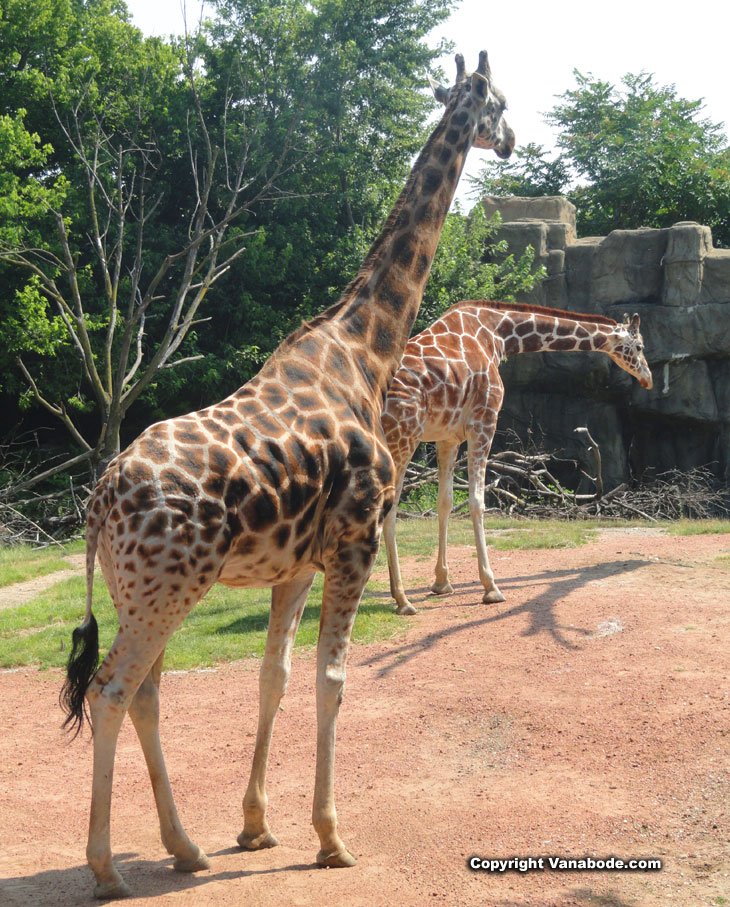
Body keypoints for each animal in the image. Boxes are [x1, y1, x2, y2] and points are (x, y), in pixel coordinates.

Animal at [61, 53, 512, 896]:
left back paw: (186, 846)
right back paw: (107, 868)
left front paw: (254, 824)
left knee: (144, 696)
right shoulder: (355, 544)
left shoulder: (297, 564)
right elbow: (332, 680)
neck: (365, 346)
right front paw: (331, 836)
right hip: (165, 591)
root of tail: (100, 501)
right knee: (110, 692)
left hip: (141, 594)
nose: (510, 141)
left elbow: (274, 674)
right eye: (498, 101)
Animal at [378, 302, 652, 612]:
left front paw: (442, 583)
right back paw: (401, 599)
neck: (497, 334)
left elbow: (445, 502)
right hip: (404, 435)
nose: (648, 379)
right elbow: (477, 501)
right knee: (387, 505)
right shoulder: (484, 421)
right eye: (639, 346)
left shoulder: (448, 437)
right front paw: (491, 587)